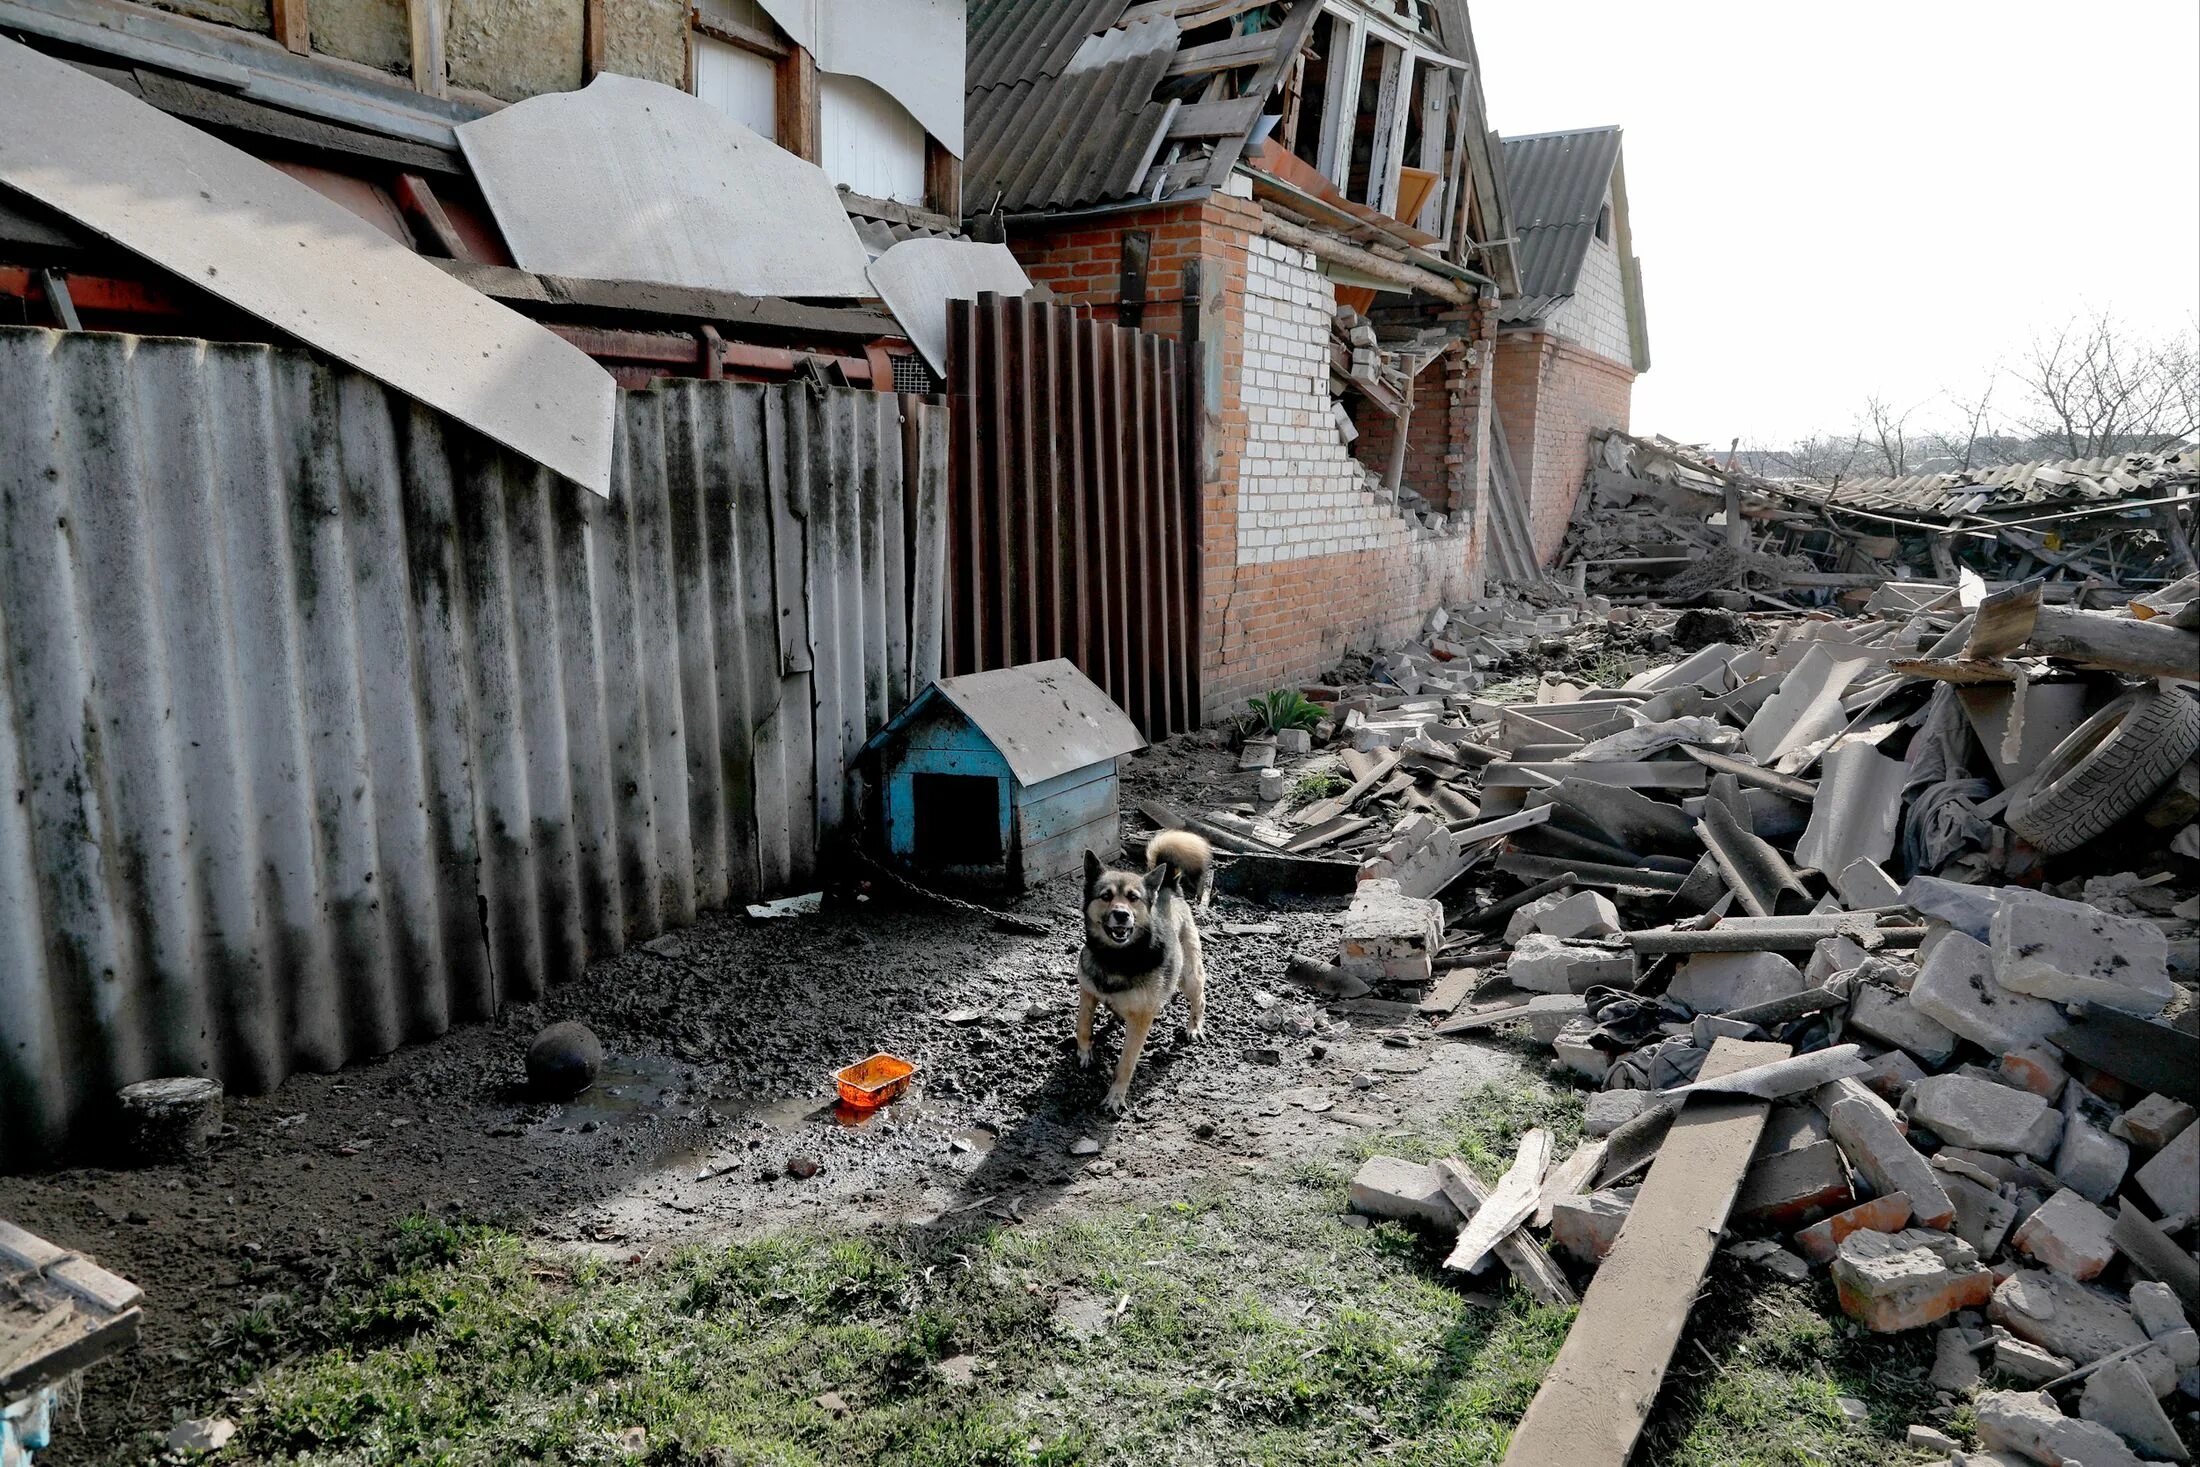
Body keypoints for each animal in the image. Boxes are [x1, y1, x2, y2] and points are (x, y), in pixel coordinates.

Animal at [1073, 835, 1214, 1112]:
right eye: (1106, 896)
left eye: (1133, 897)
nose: (1121, 914)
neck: (1117, 957)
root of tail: (1169, 885)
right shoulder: (1087, 990)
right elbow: (1082, 1024)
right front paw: (1084, 1051)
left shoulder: (1140, 1020)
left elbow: (1126, 1062)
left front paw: (1115, 1096)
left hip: (1189, 976)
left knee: (1200, 999)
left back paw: (1194, 1027)